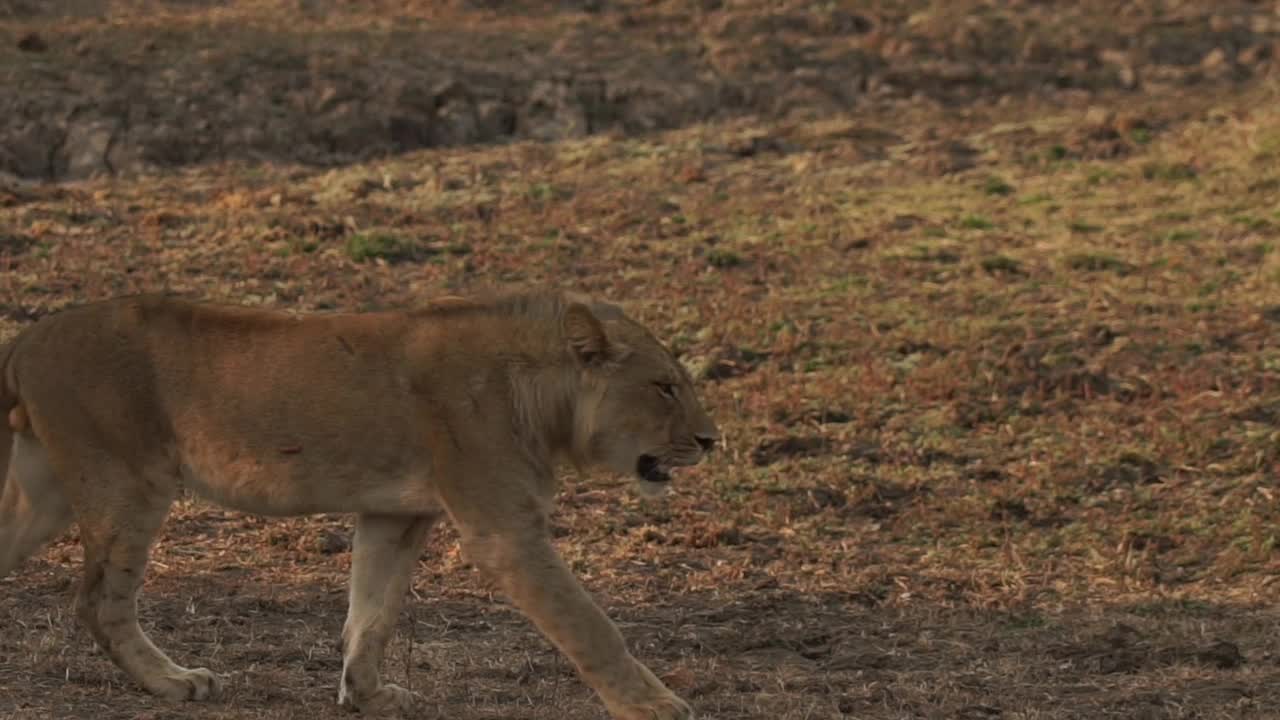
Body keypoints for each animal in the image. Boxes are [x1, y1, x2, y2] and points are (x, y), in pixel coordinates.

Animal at [0, 289, 721, 717]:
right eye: (664, 387)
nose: (712, 440)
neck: (541, 399)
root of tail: (28, 338)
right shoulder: (503, 528)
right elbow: (590, 626)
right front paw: (654, 705)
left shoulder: (395, 515)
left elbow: (373, 611)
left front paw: (367, 694)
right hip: (128, 481)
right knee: (98, 601)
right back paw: (172, 680)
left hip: (46, 492)